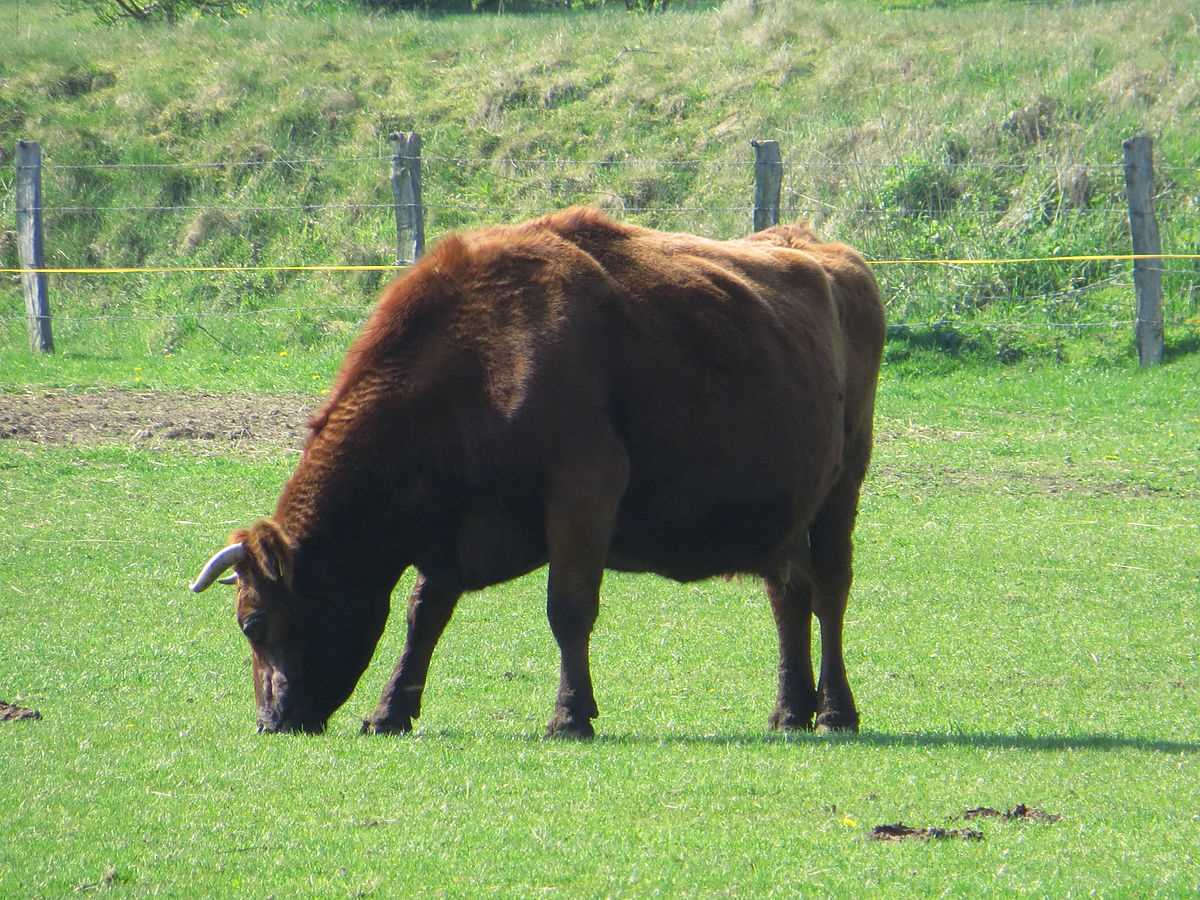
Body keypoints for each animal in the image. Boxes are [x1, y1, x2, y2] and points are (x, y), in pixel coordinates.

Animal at [192, 210, 888, 739]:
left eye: (252, 622)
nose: (271, 721)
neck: (480, 359)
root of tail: (820, 247)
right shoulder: (449, 527)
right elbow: (423, 614)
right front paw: (390, 712)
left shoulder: (584, 489)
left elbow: (569, 608)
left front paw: (570, 715)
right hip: (784, 512)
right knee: (788, 596)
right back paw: (790, 709)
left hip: (842, 486)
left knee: (829, 592)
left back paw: (836, 710)